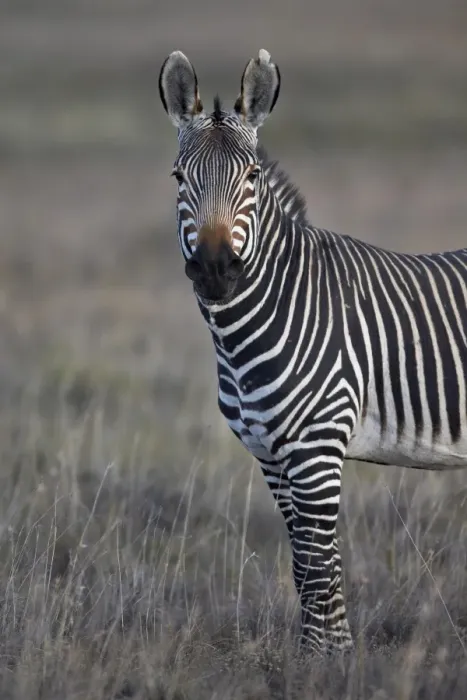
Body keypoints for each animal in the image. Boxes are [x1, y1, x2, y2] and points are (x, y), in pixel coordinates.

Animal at [158, 48, 467, 654]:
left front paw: (330, 660)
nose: (214, 270)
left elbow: (320, 564)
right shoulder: (271, 457)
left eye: (252, 177)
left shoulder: (317, 449)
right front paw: (320, 655)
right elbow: (305, 565)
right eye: (179, 177)